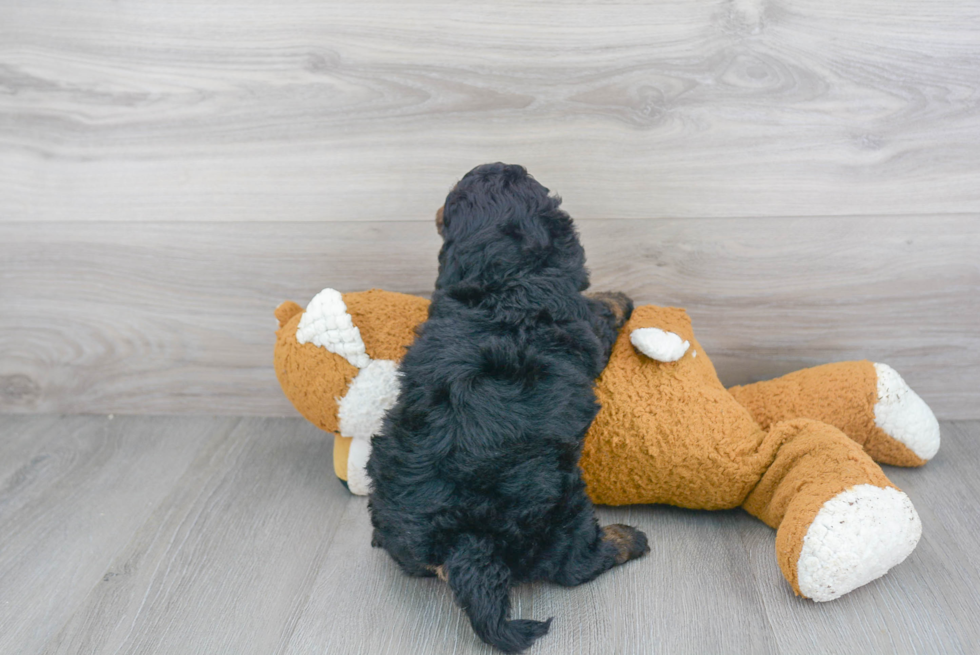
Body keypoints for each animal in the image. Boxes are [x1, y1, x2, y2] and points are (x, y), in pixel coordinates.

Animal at [368, 163, 652, 652]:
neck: (503, 280)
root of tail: (460, 542)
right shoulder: (588, 326)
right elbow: (604, 309)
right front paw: (621, 297)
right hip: (562, 507)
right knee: (575, 564)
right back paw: (627, 539)